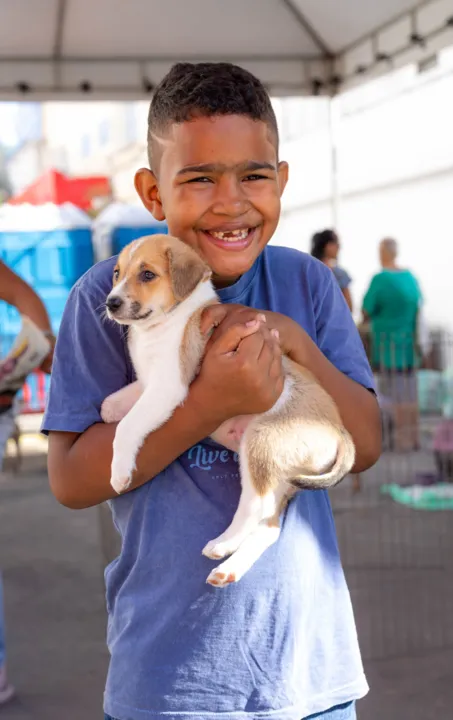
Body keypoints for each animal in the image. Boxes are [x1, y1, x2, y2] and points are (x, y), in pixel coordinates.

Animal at [102, 235, 354, 584]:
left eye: (147, 275)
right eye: (117, 273)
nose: (110, 303)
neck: (166, 322)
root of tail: (338, 430)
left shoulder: (169, 385)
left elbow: (129, 425)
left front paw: (120, 472)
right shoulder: (150, 382)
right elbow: (125, 398)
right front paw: (109, 409)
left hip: (261, 445)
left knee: (254, 506)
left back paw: (222, 544)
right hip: (280, 475)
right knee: (269, 528)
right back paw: (228, 568)